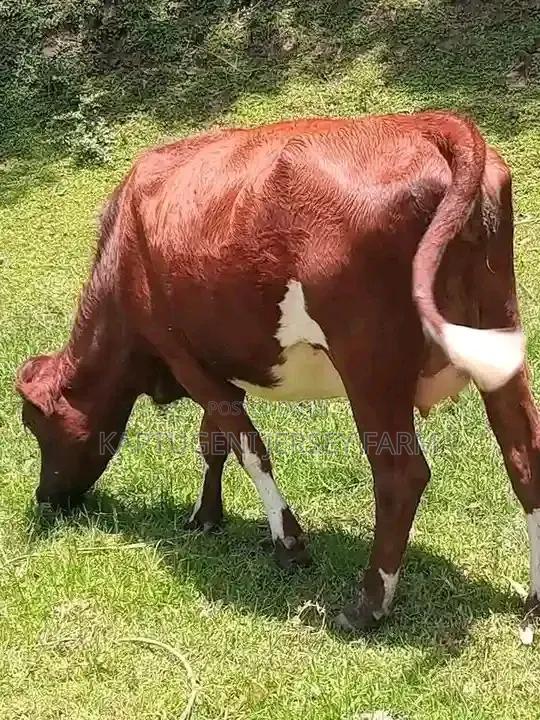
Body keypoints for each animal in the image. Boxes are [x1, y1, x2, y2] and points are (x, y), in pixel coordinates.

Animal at [16, 112, 540, 631]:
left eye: (35, 425)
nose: (44, 496)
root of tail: (430, 124)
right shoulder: (215, 366)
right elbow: (214, 442)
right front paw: (206, 516)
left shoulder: (182, 356)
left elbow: (248, 448)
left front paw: (288, 542)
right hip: (499, 335)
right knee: (524, 455)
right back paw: (533, 600)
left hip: (369, 363)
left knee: (400, 474)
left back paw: (367, 606)